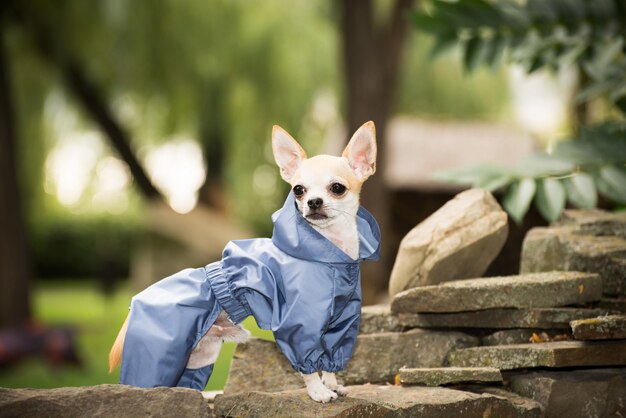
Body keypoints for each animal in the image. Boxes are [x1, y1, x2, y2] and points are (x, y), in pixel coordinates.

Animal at [109, 121, 378, 402]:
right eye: (298, 190)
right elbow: (308, 365)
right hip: (156, 355)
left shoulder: (341, 325)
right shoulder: (298, 326)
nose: (313, 202)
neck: (331, 258)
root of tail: (134, 303)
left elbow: (331, 360)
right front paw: (318, 391)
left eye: (337, 188)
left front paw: (333, 384)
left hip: (198, 356)